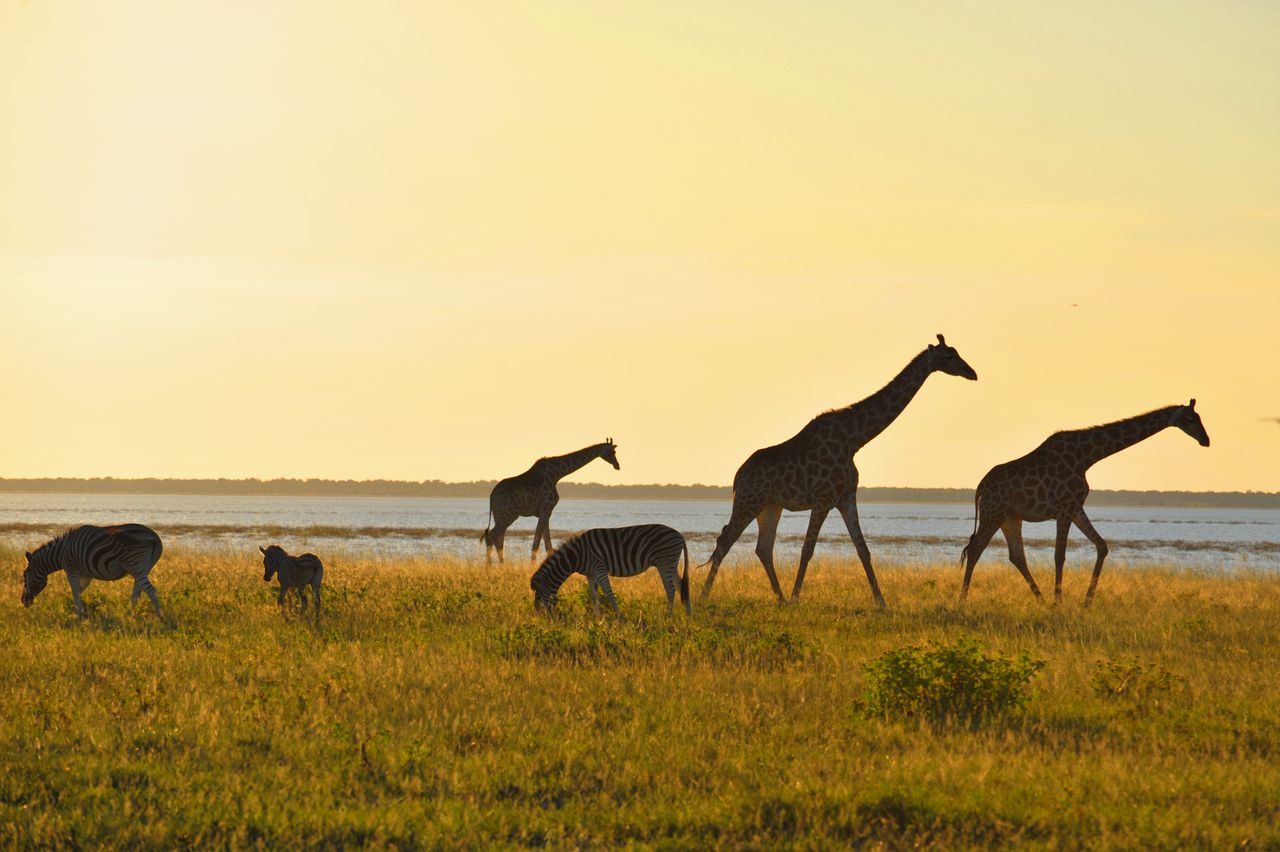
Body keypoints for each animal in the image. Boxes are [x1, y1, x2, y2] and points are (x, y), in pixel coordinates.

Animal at [21, 524, 164, 618]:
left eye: (24, 577)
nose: (23, 601)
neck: (62, 552)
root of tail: (154, 536)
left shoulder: (72, 570)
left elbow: (75, 593)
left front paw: (78, 615)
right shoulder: (86, 574)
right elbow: (79, 591)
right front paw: (82, 613)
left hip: (136, 567)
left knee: (151, 591)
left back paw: (160, 617)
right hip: (143, 569)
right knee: (136, 594)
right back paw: (128, 616)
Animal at [481, 439, 620, 563]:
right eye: (612, 451)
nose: (617, 465)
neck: (557, 474)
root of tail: (491, 497)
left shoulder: (545, 512)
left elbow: (548, 546)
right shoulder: (546, 509)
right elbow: (537, 544)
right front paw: (532, 568)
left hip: (499, 516)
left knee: (498, 539)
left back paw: (500, 565)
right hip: (508, 515)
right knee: (492, 536)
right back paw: (491, 567)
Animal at [530, 524, 691, 616]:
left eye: (539, 596)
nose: (538, 617)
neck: (577, 556)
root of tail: (680, 535)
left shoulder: (600, 569)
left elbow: (609, 594)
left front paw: (619, 617)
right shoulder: (590, 574)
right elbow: (594, 596)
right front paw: (597, 618)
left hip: (665, 562)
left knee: (670, 590)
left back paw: (668, 617)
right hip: (671, 564)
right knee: (681, 586)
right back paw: (689, 616)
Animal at [699, 334, 978, 607]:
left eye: (956, 352)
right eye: (948, 356)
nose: (972, 372)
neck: (854, 439)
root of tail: (737, 477)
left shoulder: (846, 497)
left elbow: (863, 549)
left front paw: (881, 601)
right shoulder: (823, 499)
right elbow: (808, 549)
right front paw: (796, 598)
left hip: (770, 506)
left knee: (763, 548)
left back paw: (778, 598)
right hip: (749, 501)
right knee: (725, 541)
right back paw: (705, 596)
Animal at [959, 401, 1210, 606]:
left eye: (1200, 417)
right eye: (1190, 419)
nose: (1206, 440)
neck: (1087, 457)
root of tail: (980, 488)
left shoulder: (1075, 507)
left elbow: (1102, 545)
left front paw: (1086, 601)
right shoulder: (1064, 507)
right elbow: (1059, 555)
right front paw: (1059, 603)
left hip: (1011, 517)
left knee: (1016, 556)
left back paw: (1041, 600)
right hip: (993, 513)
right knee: (975, 549)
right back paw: (962, 600)